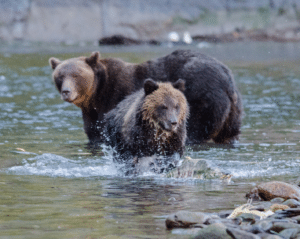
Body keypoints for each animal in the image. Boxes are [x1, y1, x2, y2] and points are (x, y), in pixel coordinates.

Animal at [48, 49, 243, 145]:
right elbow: (94, 131)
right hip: (233, 112)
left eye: (76, 75)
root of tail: (227, 78)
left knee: (197, 128)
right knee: (229, 133)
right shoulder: (92, 113)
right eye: (60, 76)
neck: (96, 95)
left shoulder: (114, 96)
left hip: (203, 99)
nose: (66, 91)